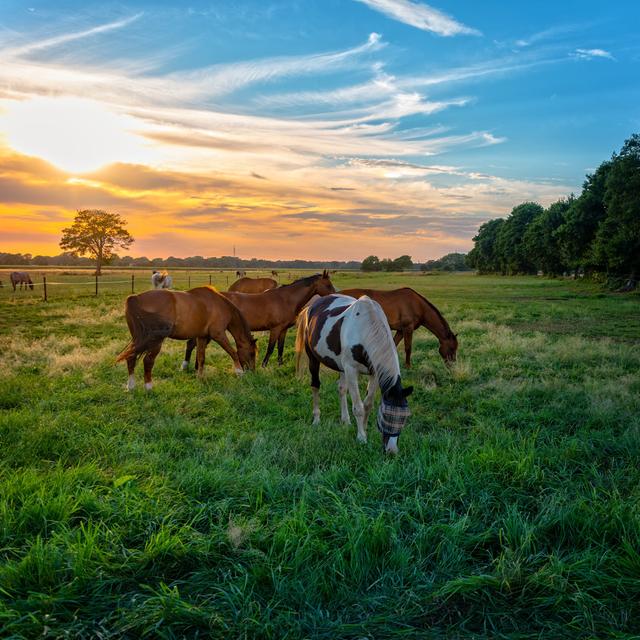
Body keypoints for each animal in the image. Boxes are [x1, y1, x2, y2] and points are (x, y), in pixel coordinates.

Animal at [116, 286, 256, 390]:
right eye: (252, 353)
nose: (253, 371)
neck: (219, 304)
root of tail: (135, 298)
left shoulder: (202, 337)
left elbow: (201, 357)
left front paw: (200, 377)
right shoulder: (218, 334)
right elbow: (233, 352)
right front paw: (239, 372)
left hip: (139, 340)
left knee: (131, 358)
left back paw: (131, 386)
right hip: (155, 342)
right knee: (148, 361)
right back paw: (149, 387)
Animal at [184, 272, 338, 370]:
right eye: (328, 285)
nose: (337, 295)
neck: (285, 299)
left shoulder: (283, 329)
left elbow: (280, 347)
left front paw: (280, 364)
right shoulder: (275, 329)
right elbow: (271, 347)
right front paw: (264, 365)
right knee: (192, 344)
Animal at [296, 296, 416, 456]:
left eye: (404, 418)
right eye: (386, 416)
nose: (391, 451)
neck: (365, 328)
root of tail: (311, 306)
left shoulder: (374, 372)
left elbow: (368, 404)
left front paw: (363, 429)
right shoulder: (351, 370)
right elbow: (358, 407)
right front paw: (361, 438)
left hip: (340, 366)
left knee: (341, 389)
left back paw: (345, 420)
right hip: (314, 359)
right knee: (315, 385)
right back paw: (316, 419)